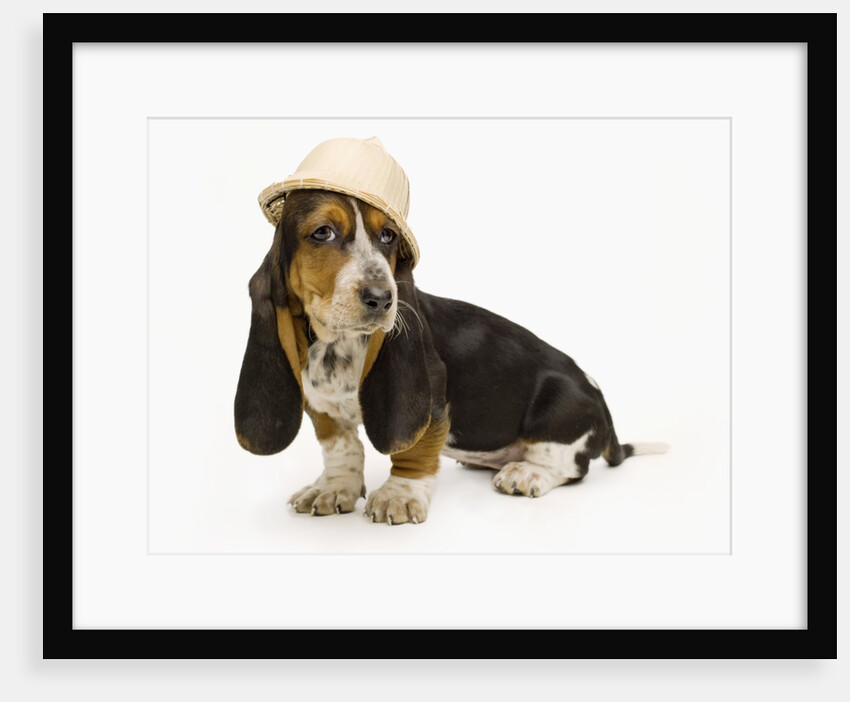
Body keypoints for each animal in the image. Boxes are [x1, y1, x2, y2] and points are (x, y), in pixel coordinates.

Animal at [234, 188, 668, 528]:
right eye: (322, 233)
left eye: (388, 236)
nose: (383, 298)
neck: (339, 345)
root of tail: (601, 407)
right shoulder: (323, 408)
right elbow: (341, 448)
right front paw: (333, 488)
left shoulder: (431, 403)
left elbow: (413, 452)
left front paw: (399, 495)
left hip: (560, 405)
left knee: (572, 465)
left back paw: (526, 473)